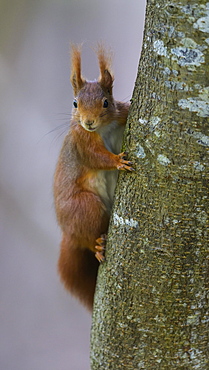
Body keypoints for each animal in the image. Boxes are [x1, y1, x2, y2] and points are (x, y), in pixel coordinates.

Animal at [53, 45, 133, 312]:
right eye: (75, 103)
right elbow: (97, 157)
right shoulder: (82, 142)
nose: (88, 122)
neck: (102, 129)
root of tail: (68, 233)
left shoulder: (121, 115)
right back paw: (97, 245)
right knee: (88, 237)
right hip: (85, 207)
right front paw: (118, 162)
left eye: (106, 102)